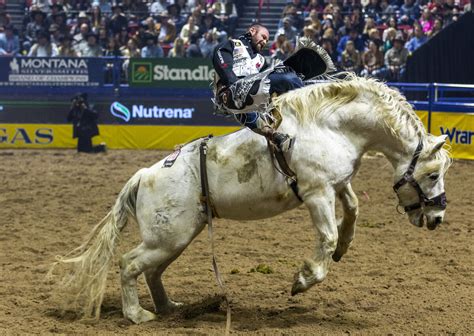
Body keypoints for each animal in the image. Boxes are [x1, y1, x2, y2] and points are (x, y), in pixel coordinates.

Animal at [51, 73, 452, 322]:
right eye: (433, 174)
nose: (437, 219)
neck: (329, 124)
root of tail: (144, 175)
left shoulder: (337, 183)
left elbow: (353, 210)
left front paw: (342, 249)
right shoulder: (317, 192)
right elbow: (327, 235)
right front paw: (304, 279)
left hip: (176, 238)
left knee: (151, 271)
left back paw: (168, 307)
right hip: (168, 238)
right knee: (128, 264)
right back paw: (137, 315)